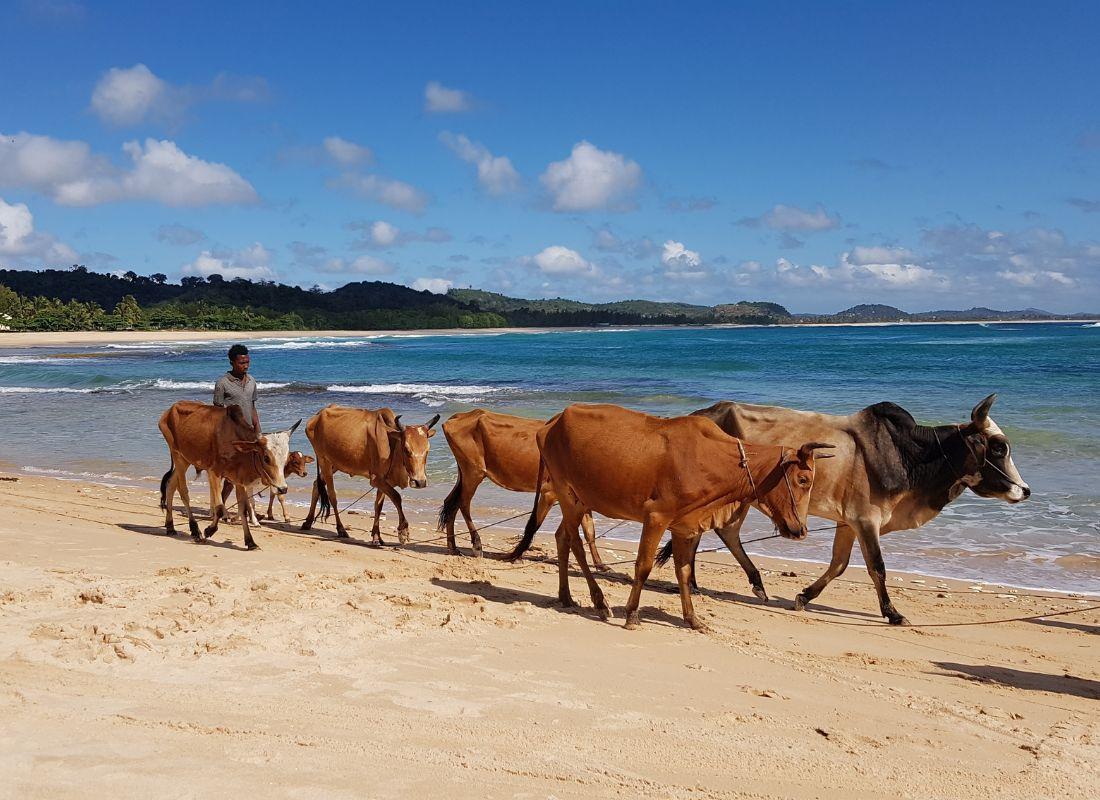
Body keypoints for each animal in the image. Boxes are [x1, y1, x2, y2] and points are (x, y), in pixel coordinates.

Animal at [157, 400, 292, 550]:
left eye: (286, 459)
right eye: (266, 458)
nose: (282, 489)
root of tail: (169, 410)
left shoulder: (239, 479)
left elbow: (243, 510)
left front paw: (250, 541)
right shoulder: (214, 473)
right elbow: (219, 507)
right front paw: (209, 530)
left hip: (186, 459)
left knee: (170, 485)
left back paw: (170, 526)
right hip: (178, 456)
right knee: (183, 491)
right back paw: (194, 529)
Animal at [303, 407, 440, 543]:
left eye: (427, 450)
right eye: (406, 449)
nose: (420, 482)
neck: (392, 444)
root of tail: (318, 415)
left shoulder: (385, 480)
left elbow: (378, 506)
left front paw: (376, 536)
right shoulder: (376, 479)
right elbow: (397, 497)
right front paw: (403, 530)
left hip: (334, 464)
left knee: (316, 484)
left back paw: (308, 522)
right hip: (324, 460)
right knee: (332, 496)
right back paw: (341, 529)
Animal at [440, 409, 611, 567]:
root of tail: (463, 414)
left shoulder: (581, 500)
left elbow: (590, 531)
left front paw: (600, 564)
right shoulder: (549, 493)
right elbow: (534, 525)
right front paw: (515, 555)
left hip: (465, 474)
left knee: (451, 503)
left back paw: (453, 548)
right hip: (474, 472)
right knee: (463, 503)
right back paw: (476, 544)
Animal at [503, 407, 827, 633]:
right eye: (803, 479)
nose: (801, 530)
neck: (720, 461)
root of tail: (552, 422)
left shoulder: (685, 527)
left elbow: (683, 572)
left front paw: (693, 619)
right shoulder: (656, 517)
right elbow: (643, 566)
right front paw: (632, 614)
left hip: (580, 499)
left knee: (562, 538)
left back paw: (567, 597)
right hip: (567, 494)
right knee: (575, 543)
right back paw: (599, 601)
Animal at [660, 393, 1029, 625]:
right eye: (998, 448)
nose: (1024, 490)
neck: (907, 455)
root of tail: (697, 415)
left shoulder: (848, 522)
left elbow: (838, 565)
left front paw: (804, 597)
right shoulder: (866, 520)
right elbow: (877, 568)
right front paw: (893, 613)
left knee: (722, 532)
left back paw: (720, 583)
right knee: (719, 530)